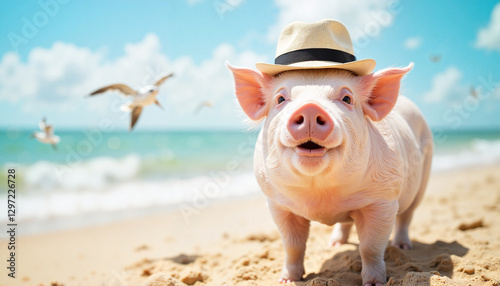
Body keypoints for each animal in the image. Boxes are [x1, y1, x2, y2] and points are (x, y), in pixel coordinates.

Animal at [227, 59, 434, 284]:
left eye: (347, 98)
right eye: (280, 98)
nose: (310, 107)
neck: (320, 193)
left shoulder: (383, 200)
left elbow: (370, 247)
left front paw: (374, 283)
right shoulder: (277, 204)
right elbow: (292, 245)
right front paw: (286, 280)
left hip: (422, 180)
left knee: (406, 217)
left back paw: (402, 246)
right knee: (346, 223)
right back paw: (334, 245)